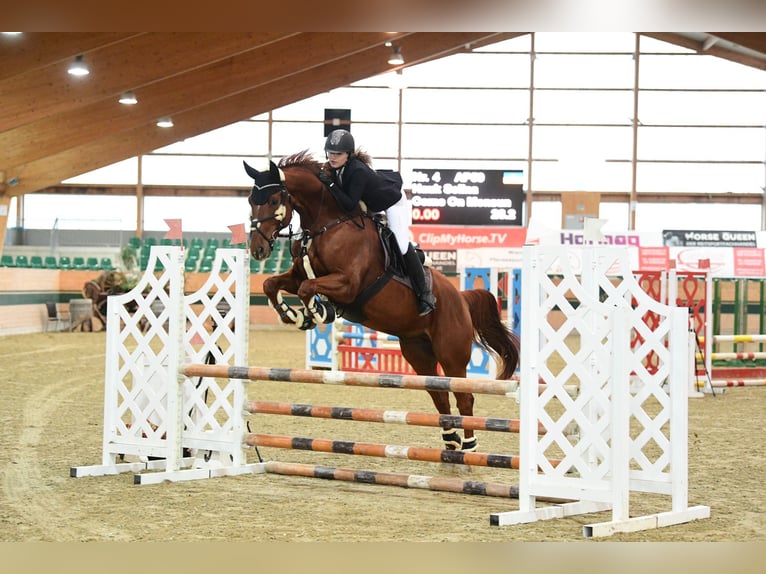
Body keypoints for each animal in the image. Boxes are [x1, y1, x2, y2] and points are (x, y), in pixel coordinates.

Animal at [246, 152, 520, 454]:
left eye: (273, 200)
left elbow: (308, 289)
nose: (258, 249)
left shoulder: (348, 284)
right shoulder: (298, 275)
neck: (327, 223)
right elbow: (272, 285)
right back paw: (450, 441)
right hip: (418, 351)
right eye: (250, 200)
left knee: (464, 396)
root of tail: (460, 297)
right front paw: (293, 316)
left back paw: (469, 446)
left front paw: (319, 311)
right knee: (438, 394)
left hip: (451, 354)